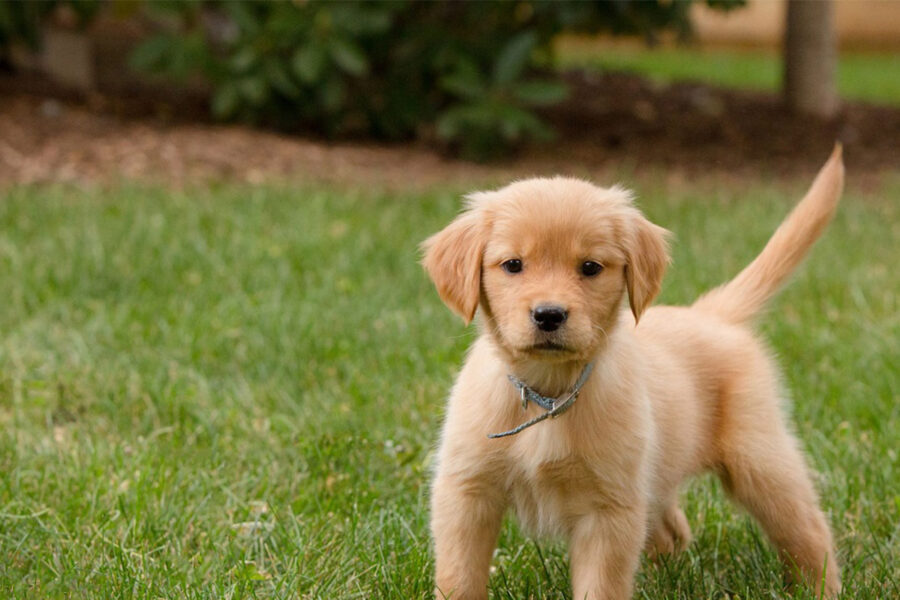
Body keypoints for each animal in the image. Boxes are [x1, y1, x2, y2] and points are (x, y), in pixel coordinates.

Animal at [422, 146, 844, 600]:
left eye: (590, 267)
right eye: (513, 264)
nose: (549, 315)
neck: (548, 395)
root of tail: (711, 314)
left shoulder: (609, 509)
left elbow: (600, 587)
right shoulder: (466, 492)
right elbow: (459, 577)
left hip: (758, 457)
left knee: (807, 528)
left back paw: (821, 586)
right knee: (673, 529)